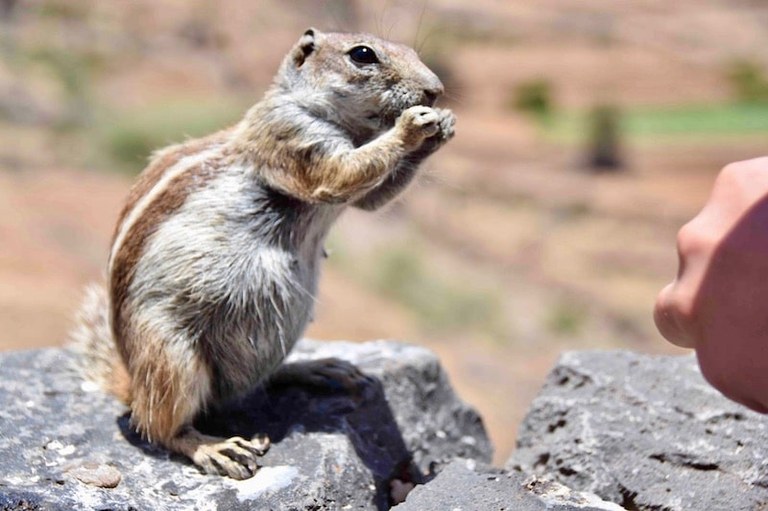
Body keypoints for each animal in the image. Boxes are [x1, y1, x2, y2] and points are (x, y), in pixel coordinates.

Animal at [70, 28, 455, 480]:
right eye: (362, 55)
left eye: (413, 51)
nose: (435, 90)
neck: (352, 126)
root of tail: (131, 383)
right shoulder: (292, 137)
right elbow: (341, 175)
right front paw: (414, 126)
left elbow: (371, 198)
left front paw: (442, 126)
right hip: (172, 357)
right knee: (158, 425)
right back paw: (213, 448)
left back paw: (316, 368)